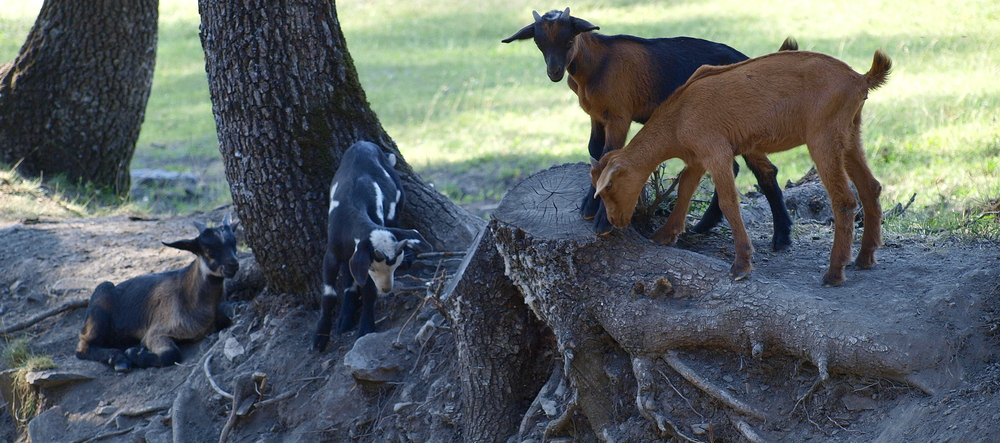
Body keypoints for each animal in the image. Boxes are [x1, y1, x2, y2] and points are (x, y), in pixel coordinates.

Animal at [76, 215, 240, 372]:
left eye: (234, 244)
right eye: (207, 249)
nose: (233, 264)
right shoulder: (156, 332)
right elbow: (171, 354)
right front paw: (134, 354)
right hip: (100, 299)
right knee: (84, 347)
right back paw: (119, 360)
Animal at [504, 6, 792, 251]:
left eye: (569, 41)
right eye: (539, 44)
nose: (554, 72)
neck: (597, 65)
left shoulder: (619, 116)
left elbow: (609, 156)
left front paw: (603, 221)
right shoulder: (596, 117)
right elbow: (595, 152)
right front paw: (589, 207)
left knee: (766, 171)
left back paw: (782, 238)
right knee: (734, 167)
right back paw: (703, 226)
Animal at [588, 50, 888, 286]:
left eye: (609, 187)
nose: (613, 221)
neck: (679, 115)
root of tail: (859, 79)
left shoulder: (716, 151)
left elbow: (729, 202)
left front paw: (741, 265)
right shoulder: (697, 157)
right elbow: (685, 188)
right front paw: (665, 234)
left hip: (823, 136)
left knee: (844, 200)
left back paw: (835, 272)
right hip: (849, 134)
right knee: (870, 187)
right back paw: (865, 257)